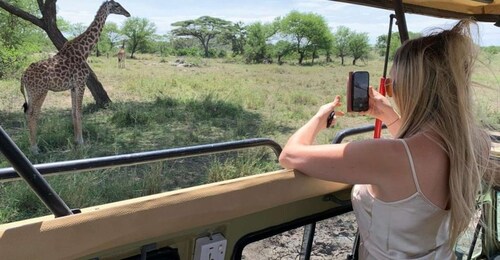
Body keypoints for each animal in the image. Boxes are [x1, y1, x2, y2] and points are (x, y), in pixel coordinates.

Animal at [21, 0, 131, 154]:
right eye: (117, 5)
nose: (128, 13)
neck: (84, 51)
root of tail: (23, 76)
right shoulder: (81, 83)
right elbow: (79, 112)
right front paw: (82, 142)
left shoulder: (73, 86)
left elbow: (73, 112)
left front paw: (75, 140)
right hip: (40, 91)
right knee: (33, 114)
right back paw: (35, 148)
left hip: (31, 93)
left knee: (28, 113)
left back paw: (32, 145)